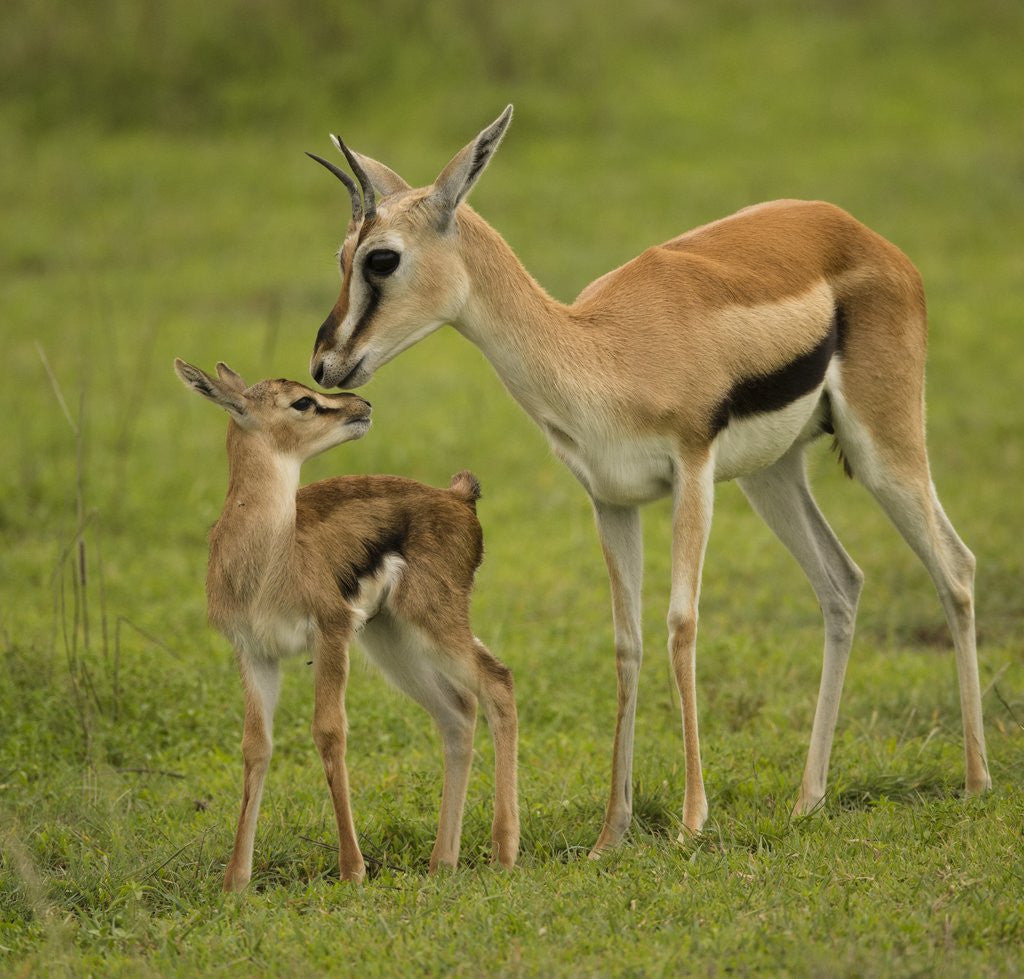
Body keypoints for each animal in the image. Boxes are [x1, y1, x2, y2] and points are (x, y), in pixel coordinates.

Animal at [174, 359, 519, 889]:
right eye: (301, 402)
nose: (362, 404)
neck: (269, 562)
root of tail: (458, 497)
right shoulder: (254, 652)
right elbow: (256, 746)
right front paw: (235, 880)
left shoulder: (331, 633)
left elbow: (329, 732)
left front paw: (353, 869)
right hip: (392, 641)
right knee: (458, 711)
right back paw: (442, 862)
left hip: (433, 625)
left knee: (498, 681)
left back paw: (503, 853)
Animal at [305, 106, 991, 852]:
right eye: (340, 256)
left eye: (382, 257)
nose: (325, 362)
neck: (602, 350)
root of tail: (860, 232)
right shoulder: (611, 501)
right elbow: (626, 642)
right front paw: (613, 830)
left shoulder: (692, 473)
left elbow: (680, 624)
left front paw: (692, 820)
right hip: (773, 475)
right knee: (842, 582)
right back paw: (809, 799)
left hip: (881, 446)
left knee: (955, 565)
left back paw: (976, 780)